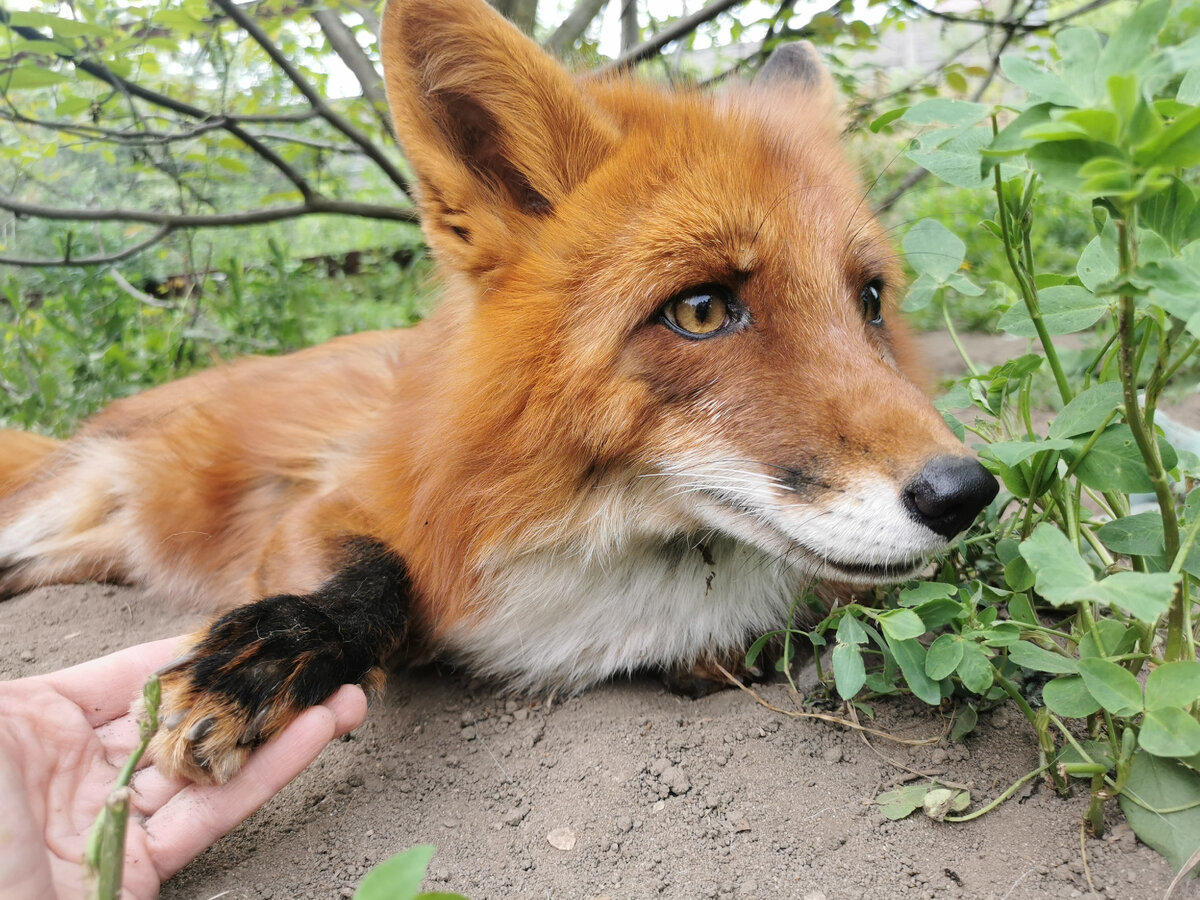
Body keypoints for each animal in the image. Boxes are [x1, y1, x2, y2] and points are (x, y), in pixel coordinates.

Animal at [0, 0, 998, 787]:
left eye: (869, 301)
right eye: (702, 309)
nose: (966, 493)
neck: (598, 538)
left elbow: (725, 655)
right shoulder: (321, 511)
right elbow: (379, 577)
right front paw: (273, 650)